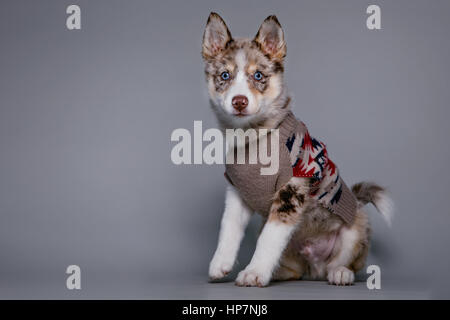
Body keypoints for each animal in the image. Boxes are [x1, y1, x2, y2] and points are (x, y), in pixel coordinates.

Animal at [202, 13, 392, 288]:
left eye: (258, 76)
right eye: (225, 76)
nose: (239, 102)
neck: (254, 137)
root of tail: (314, 267)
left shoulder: (291, 190)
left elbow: (268, 239)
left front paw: (254, 272)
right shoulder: (237, 192)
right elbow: (228, 229)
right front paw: (220, 264)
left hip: (356, 227)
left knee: (348, 263)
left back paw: (340, 273)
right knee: (294, 270)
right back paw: (279, 273)